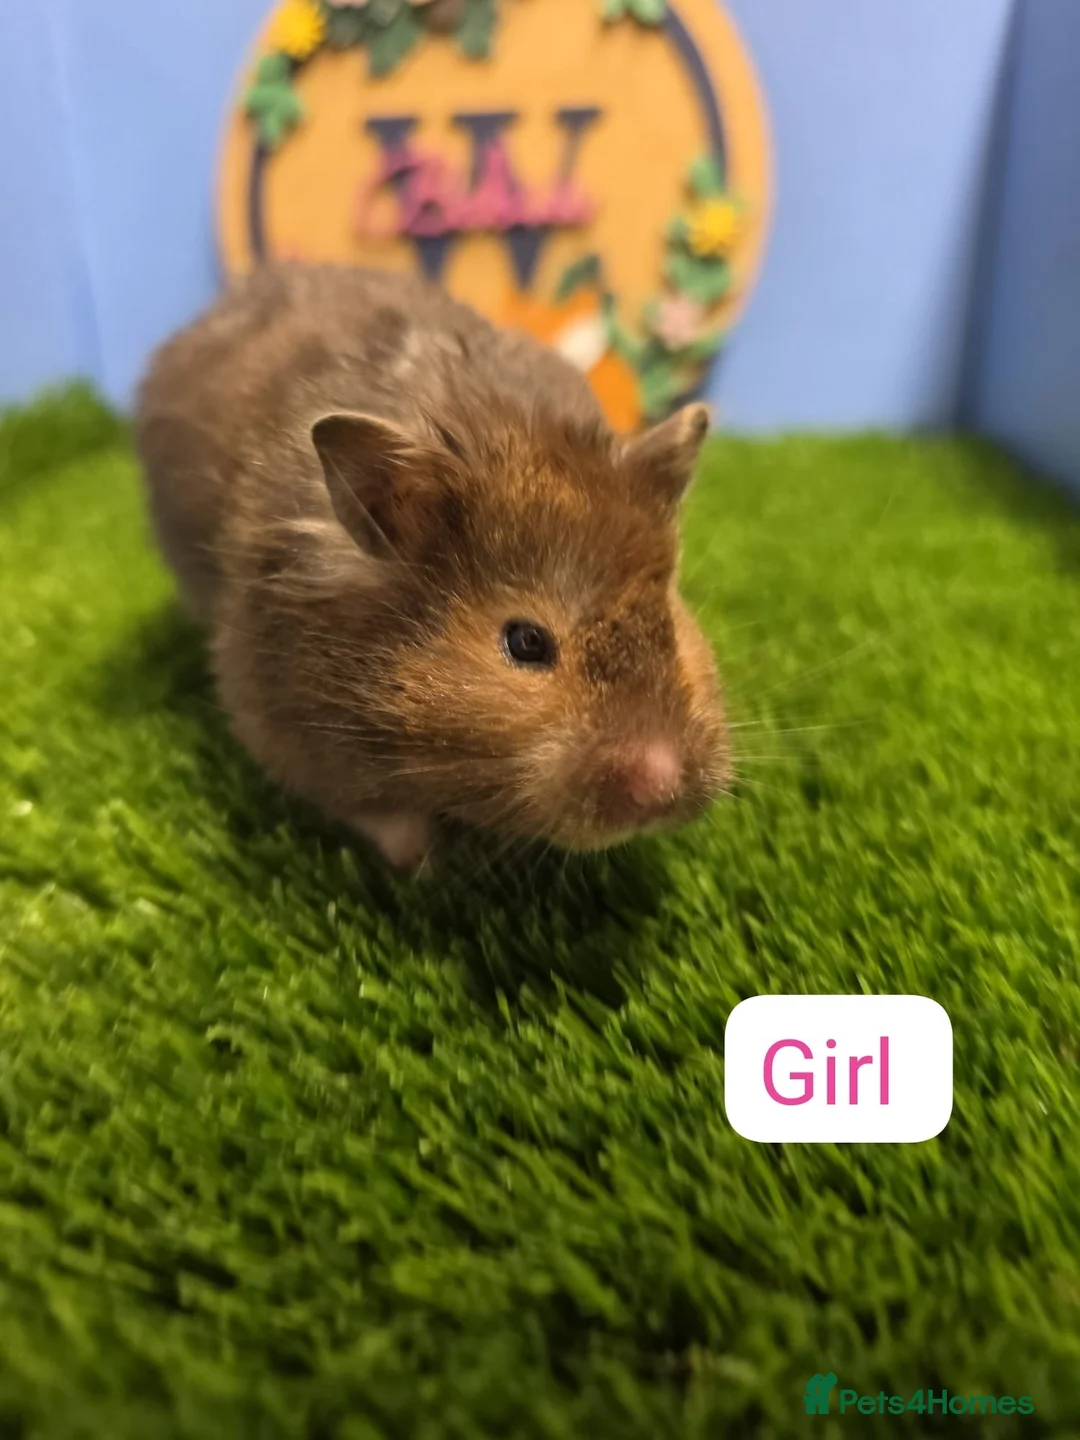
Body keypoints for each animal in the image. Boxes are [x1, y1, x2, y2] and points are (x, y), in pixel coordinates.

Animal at [134, 264, 730, 868]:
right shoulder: (280, 719)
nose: (661, 789)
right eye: (526, 642)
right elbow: (377, 815)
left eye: (671, 624)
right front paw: (430, 864)